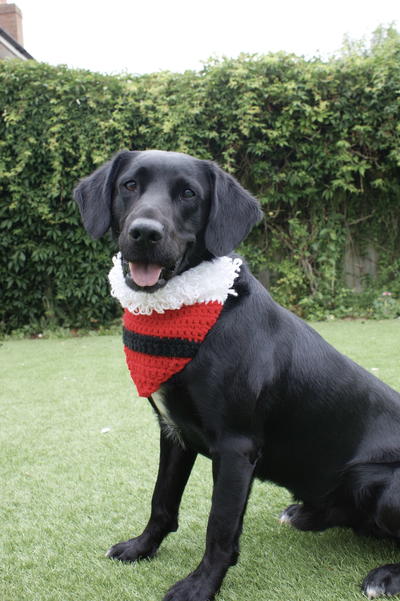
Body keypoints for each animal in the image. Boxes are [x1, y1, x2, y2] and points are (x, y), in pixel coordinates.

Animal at [74, 149, 400, 596]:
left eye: (189, 194)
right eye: (129, 185)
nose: (144, 233)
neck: (196, 316)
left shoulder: (235, 447)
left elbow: (220, 527)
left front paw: (199, 586)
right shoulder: (173, 433)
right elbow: (162, 501)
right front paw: (141, 547)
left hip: (379, 484)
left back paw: (385, 575)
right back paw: (305, 514)